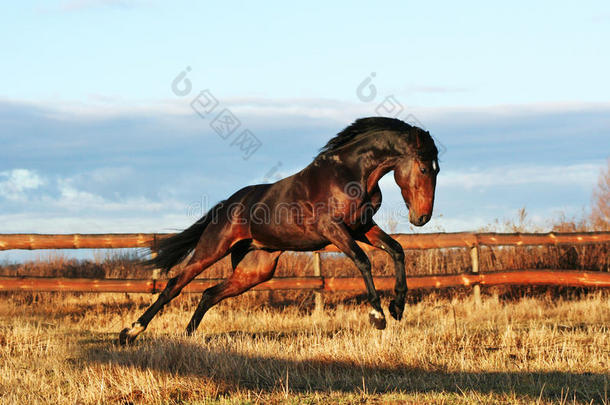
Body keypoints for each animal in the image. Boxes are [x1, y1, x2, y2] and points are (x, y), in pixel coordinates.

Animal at [119, 115, 436, 342]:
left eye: (437, 169)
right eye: (423, 168)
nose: (421, 218)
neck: (350, 175)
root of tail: (227, 204)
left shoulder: (362, 227)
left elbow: (396, 250)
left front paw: (397, 307)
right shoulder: (334, 230)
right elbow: (363, 260)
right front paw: (378, 316)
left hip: (255, 269)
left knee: (210, 293)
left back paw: (188, 336)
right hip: (212, 250)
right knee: (175, 285)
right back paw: (130, 332)